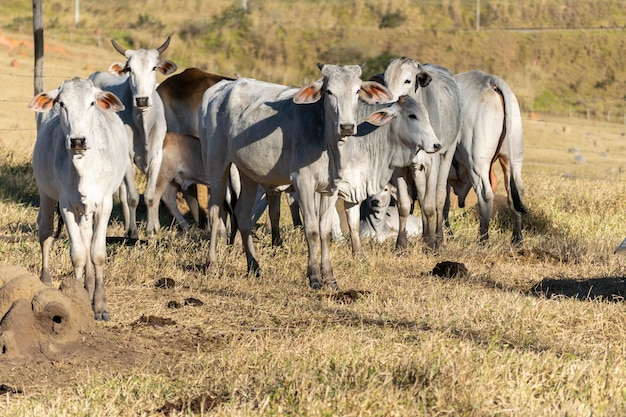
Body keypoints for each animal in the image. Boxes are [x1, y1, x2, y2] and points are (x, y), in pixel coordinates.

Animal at [29, 76, 128, 320]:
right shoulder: (66, 205)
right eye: (62, 104)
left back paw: (89, 287)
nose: (77, 141)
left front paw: (100, 305)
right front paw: (77, 297)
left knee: (88, 238)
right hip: (46, 193)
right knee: (46, 232)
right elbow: (78, 255)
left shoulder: (104, 204)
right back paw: (47, 280)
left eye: (92, 103)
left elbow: (97, 253)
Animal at [88, 35, 177, 237]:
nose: (142, 100)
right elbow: (133, 198)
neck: (144, 125)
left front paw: (151, 231)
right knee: (122, 195)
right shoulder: (128, 158)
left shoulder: (157, 156)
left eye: (154, 67)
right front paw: (134, 232)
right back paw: (129, 228)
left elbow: (150, 196)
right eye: (130, 69)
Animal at [200, 66, 438, 290]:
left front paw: (338, 272)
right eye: (412, 116)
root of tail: (220, 88)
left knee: (242, 214)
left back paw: (254, 266)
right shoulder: (308, 185)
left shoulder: (337, 187)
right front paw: (315, 276)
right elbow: (315, 229)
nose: (436, 145)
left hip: (249, 173)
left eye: (357, 91)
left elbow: (337, 228)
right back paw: (212, 264)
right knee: (215, 212)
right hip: (217, 165)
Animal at [378, 59, 460, 250]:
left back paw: (438, 237)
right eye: (385, 81)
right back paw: (425, 235)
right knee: (422, 197)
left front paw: (433, 245)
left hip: (447, 153)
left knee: (438, 196)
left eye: (407, 80)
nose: (387, 103)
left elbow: (430, 205)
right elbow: (404, 205)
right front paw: (401, 245)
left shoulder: (432, 161)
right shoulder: (399, 167)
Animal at [448, 70, 528, 242]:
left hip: (477, 163)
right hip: (512, 160)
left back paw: (483, 238)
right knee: (515, 193)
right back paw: (517, 238)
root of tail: (490, 81)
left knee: (485, 194)